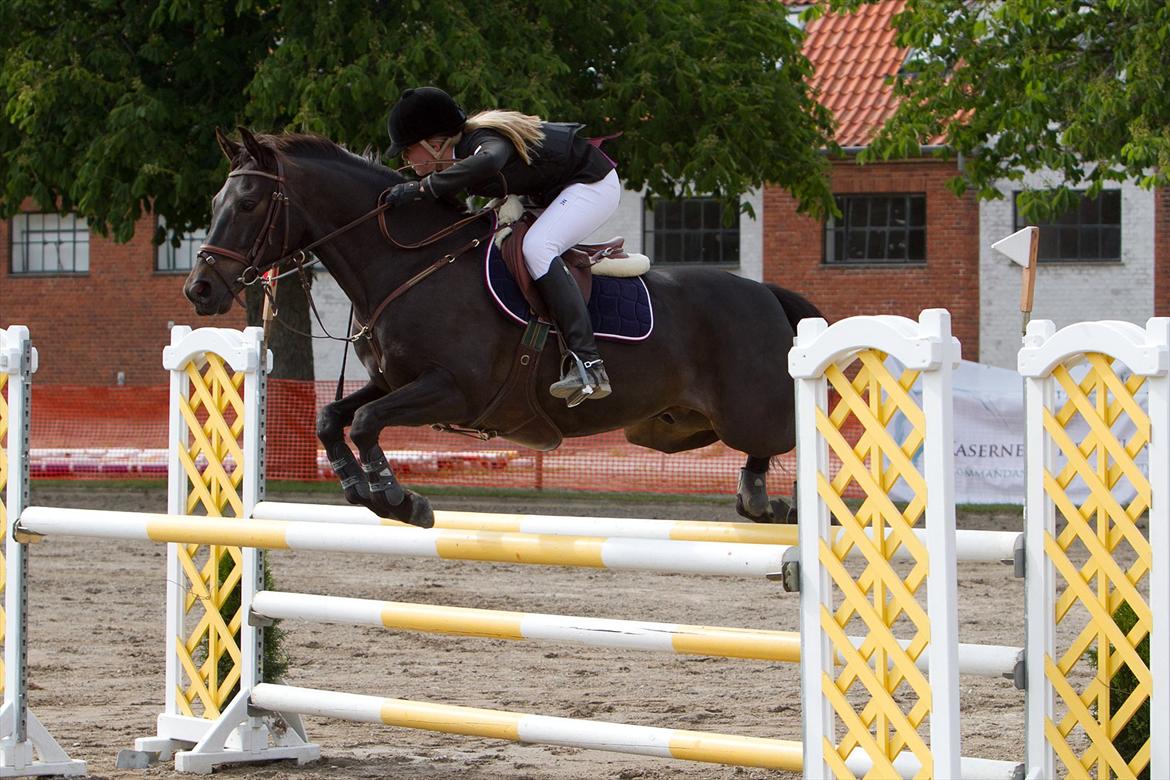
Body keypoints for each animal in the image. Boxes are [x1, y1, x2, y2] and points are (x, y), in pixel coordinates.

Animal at [182, 129, 823, 530]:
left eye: (247, 203)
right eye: (213, 201)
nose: (200, 289)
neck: (411, 264)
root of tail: (765, 293)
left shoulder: (453, 391)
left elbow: (364, 423)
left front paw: (396, 497)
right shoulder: (396, 383)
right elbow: (331, 418)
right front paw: (360, 488)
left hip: (749, 411)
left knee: (790, 436)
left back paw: (771, 501)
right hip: (669, 428)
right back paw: (763, 503)